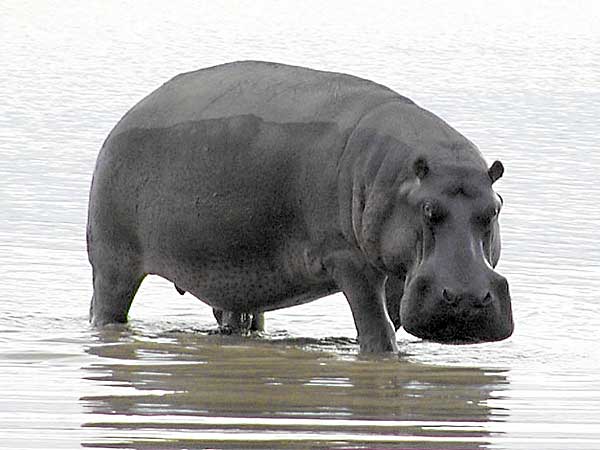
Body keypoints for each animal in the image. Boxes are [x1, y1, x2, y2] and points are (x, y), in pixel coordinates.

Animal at [86, 59, 512, 352]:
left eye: (494, 209)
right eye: (428, 210)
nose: (467, 298)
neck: (402, 179)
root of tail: (127, 116)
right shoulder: (348, 258)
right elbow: (376, 328)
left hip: (234, 276)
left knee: (237, 316)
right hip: (113, 262)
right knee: (107, 307)